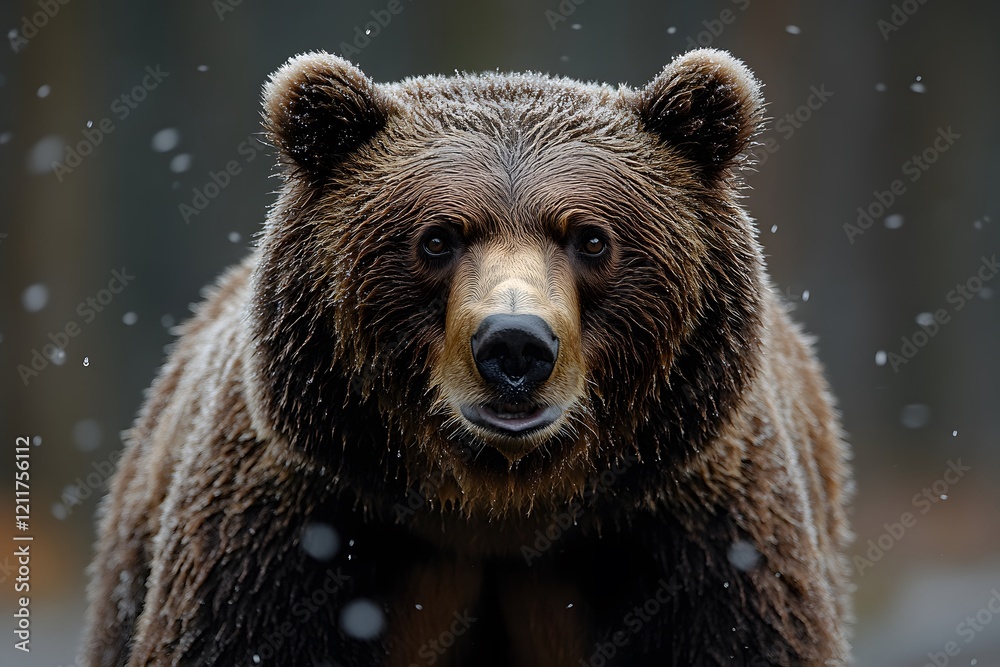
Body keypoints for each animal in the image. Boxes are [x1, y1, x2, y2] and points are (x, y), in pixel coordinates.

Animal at [83, 48, 852, 666]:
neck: (495, 511)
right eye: (436, 239)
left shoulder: (692, 545)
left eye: (592, 238)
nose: (515, 345)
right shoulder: (294, 535)